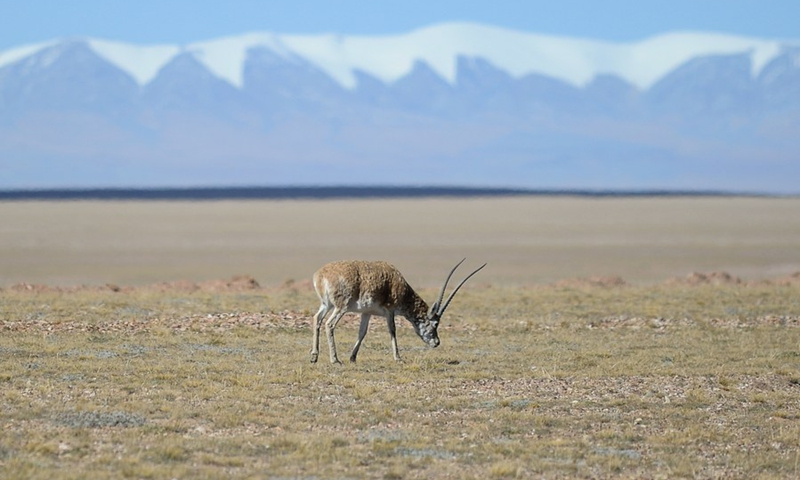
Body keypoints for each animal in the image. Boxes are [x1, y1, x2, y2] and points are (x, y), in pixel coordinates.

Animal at [310, 259, 486, 364]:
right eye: (435, 324)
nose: (436, 342)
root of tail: (320, 276)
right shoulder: (390, 311)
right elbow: (392, 330)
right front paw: (398, 358)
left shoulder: (367, 313)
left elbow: (362, 332)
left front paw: (353, 357)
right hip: (341, 307)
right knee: (329, 324)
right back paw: (335, 360)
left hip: (326, 305)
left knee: (317, 319)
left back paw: (314, 356)